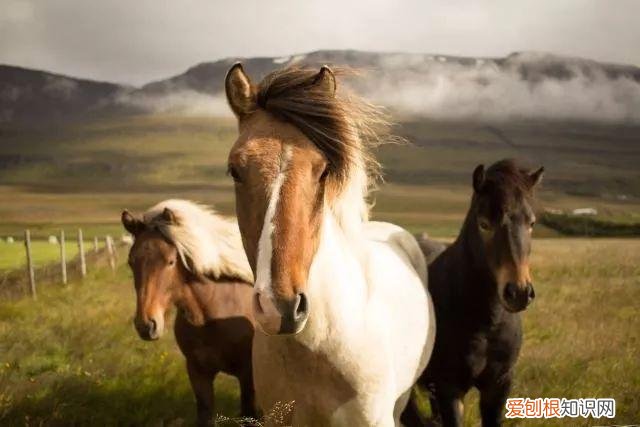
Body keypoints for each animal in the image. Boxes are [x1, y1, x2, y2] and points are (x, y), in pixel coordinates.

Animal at [121, 199, 257, 426]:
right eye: (131, 262)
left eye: (170, 261)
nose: (146, 325)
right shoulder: (198, 373)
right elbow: (205, 414)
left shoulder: (248, 375)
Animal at [402, 159, 544, 427]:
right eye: (484, 224)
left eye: (531, 223)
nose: (519, 292)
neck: (485, 323)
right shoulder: (449, 389)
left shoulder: (498, 386)